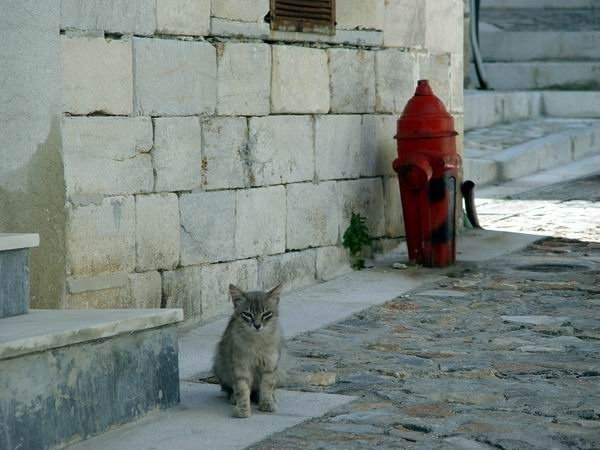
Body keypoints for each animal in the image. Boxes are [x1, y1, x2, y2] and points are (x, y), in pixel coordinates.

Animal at [212, 284, 284, 418]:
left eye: (266, 314)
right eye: (247, 314)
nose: (257, 325)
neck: (257, 342)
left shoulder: (270, 366)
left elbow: (267, 387)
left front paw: (267, 403)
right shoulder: (241, 367)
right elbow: (242, 390)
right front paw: (243, 409)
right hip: (220, 366)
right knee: (230, 389)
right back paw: (234, 398)